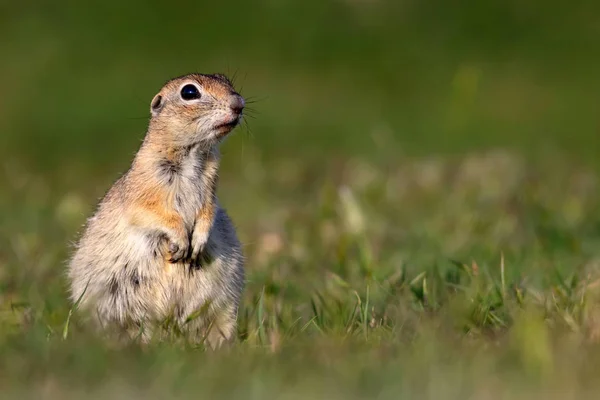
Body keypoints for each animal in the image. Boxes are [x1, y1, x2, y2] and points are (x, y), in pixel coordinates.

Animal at [69, 73, 246, 348]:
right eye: (189, 92)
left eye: (226, 81)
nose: (239, 103)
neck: (193, 154)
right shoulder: (144, 189)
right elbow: (152, 213)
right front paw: (181, 242)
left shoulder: (210, 192)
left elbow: (207, 212)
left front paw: (198, 242)